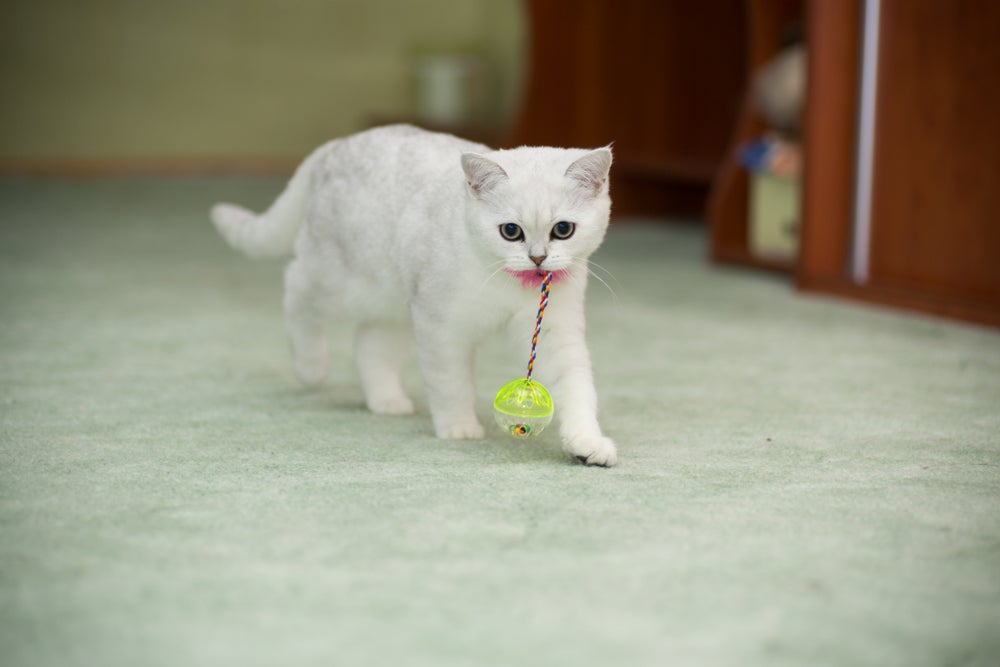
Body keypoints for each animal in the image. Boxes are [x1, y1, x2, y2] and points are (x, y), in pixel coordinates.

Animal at [213, 128, 616, 468]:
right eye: (511, 232)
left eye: (562, 230)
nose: (537, 258)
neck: (510, 285)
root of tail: (334, 145)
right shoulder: (441, 327)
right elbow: (451, 383)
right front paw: (458, 427)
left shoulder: (553, 333)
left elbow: (577, 389)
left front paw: (586, 443)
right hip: (336, 281)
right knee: (296, 290)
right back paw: (310, 367)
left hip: (394, 308)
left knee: (368, 345)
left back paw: (387, 401)